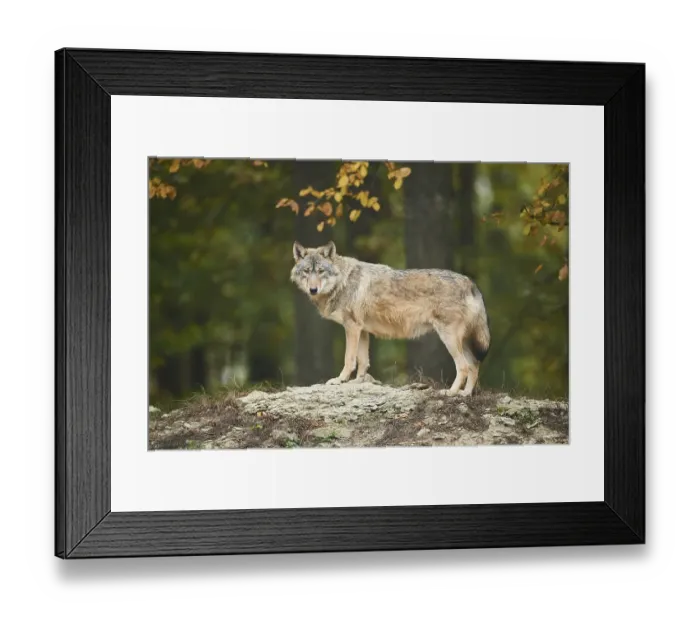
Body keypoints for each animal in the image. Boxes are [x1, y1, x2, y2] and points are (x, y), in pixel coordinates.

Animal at [290, 241, 490, 395]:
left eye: (321, 271)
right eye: (307, 271)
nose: (313, 290)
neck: (342, 282)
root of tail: (470, 283)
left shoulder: (352, 328)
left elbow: (349, 359)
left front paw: (340, 380)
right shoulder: (362, 331)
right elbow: (363, 362)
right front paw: (358, 383)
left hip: (449, 338)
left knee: (463, 366)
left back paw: (451, 392)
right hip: (462, 341)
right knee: (474, 365)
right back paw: (465, 394)